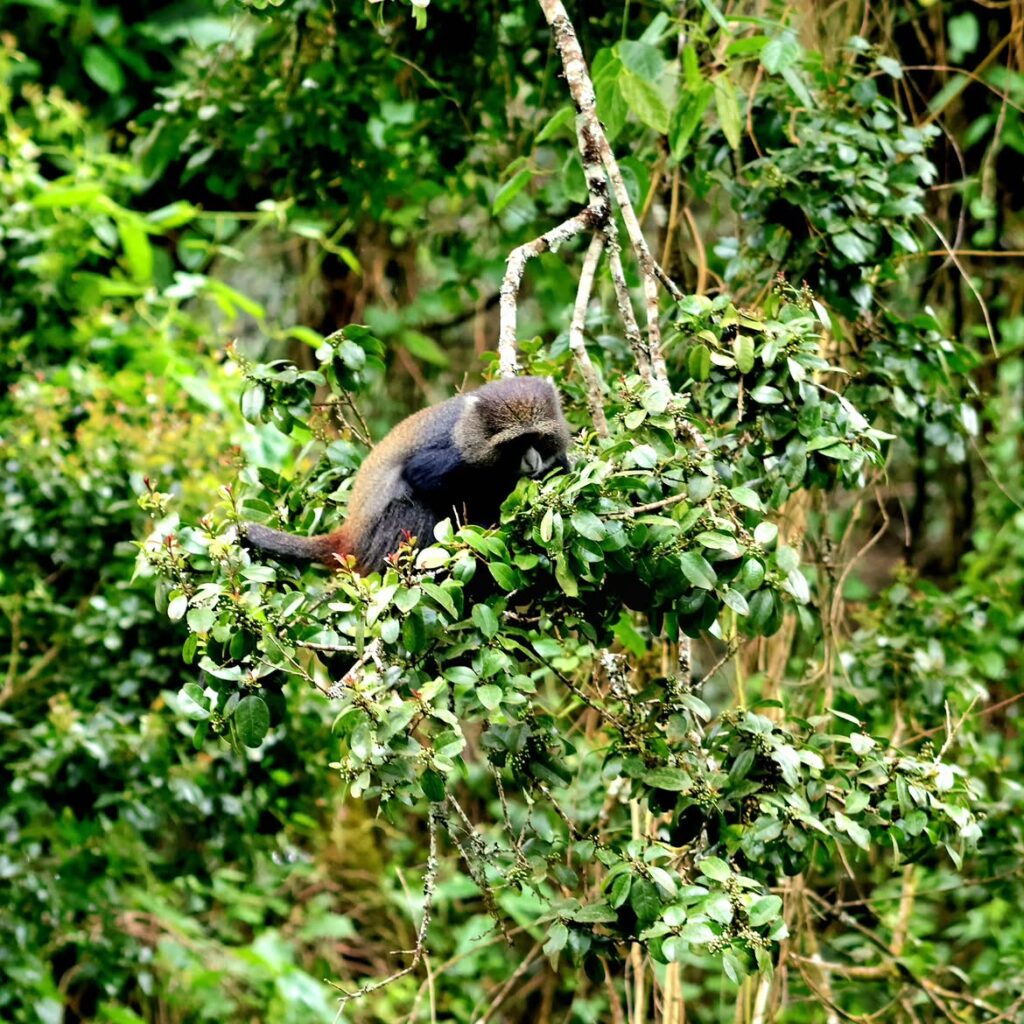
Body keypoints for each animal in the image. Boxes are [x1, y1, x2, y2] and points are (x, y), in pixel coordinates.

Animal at [242, 376, 571, 574]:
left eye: (537, 438)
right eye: (515, 444)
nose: (531, 461)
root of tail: (350, 537)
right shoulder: (455, 453)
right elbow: (420, 474)